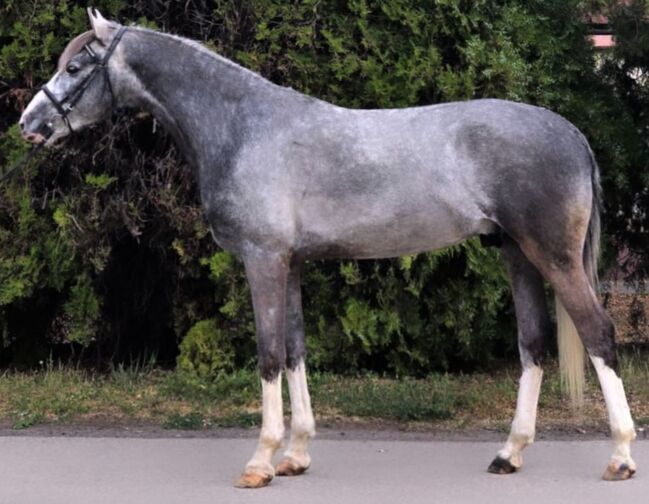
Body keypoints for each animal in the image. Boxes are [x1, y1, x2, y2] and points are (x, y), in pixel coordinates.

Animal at [19, 8, 632, 488]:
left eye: (75, 67)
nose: (29, 124)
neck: (243, 126)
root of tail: (572, 134)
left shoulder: (263, 261)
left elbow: (268, 354)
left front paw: (260, 461)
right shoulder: (288, 265)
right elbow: (294, 351)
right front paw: (295, 455)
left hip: (552, 255)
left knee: (598, 334)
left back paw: (621, 456)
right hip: (516, 254)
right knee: (533, 343)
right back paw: (510, 453)